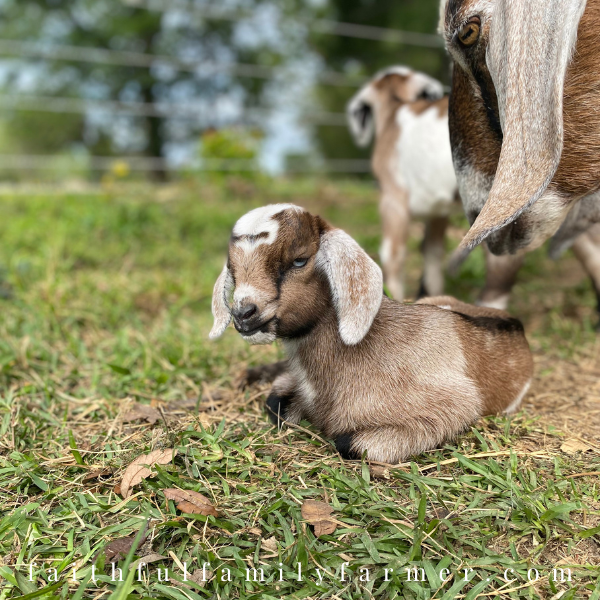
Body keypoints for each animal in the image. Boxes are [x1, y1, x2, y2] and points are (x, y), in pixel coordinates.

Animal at [211, 205, 536, 464]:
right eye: (233, 268)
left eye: (300, 260)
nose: (243, 313)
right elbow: (275, 402)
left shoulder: (455, 405)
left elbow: (348, 443)